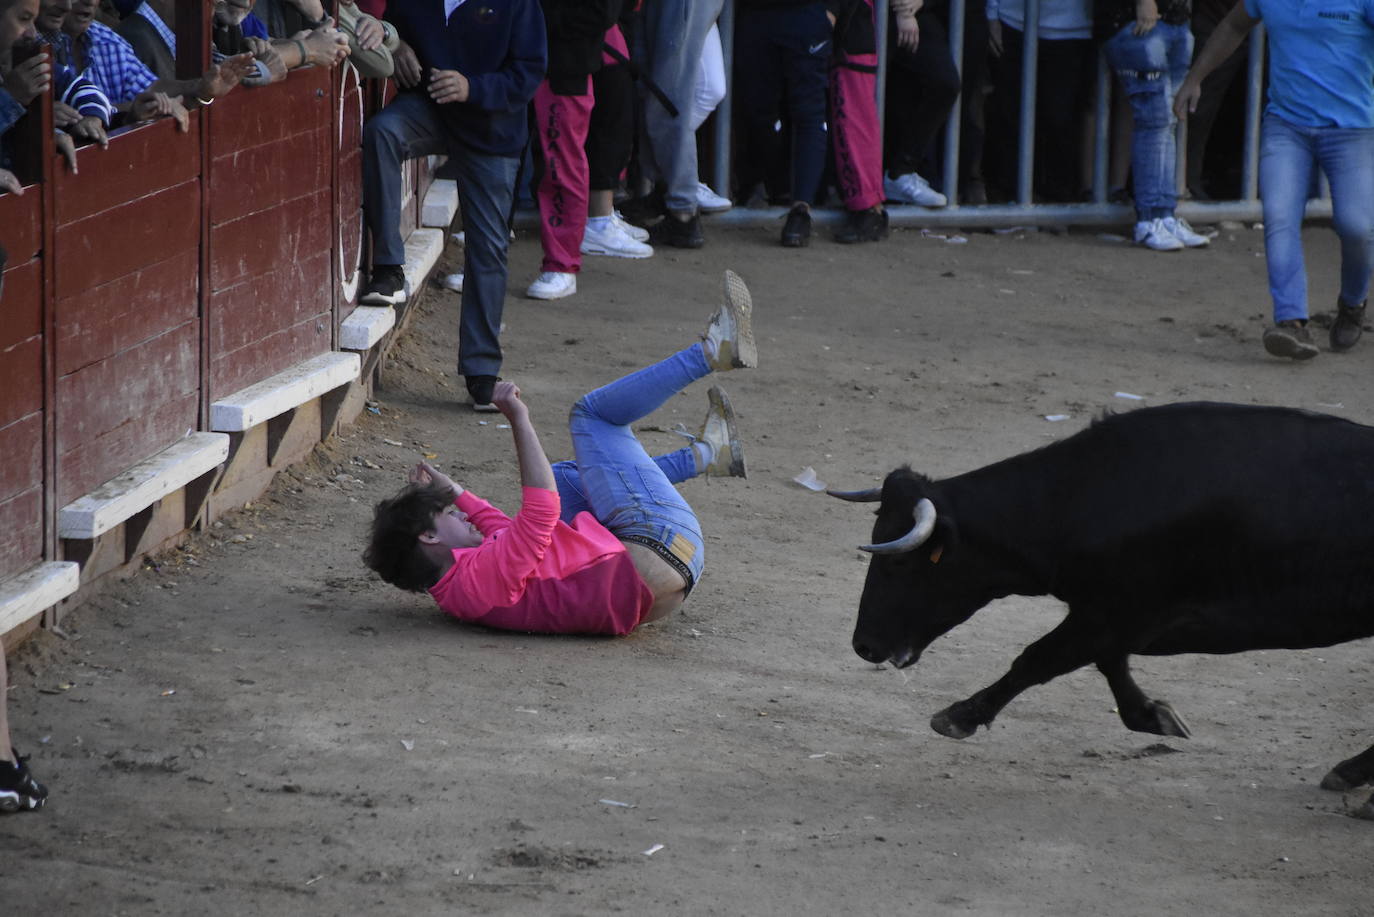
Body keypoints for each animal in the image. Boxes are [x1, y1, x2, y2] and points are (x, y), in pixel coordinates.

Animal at [829, 404, 1374, 808]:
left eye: (901, 562)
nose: (863, 646)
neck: (1081, 496)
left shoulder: (1121, 612)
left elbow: (1037, 659)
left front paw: (959, 716)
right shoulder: (1111, 616)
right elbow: (1107, 665)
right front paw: (1154, 716)